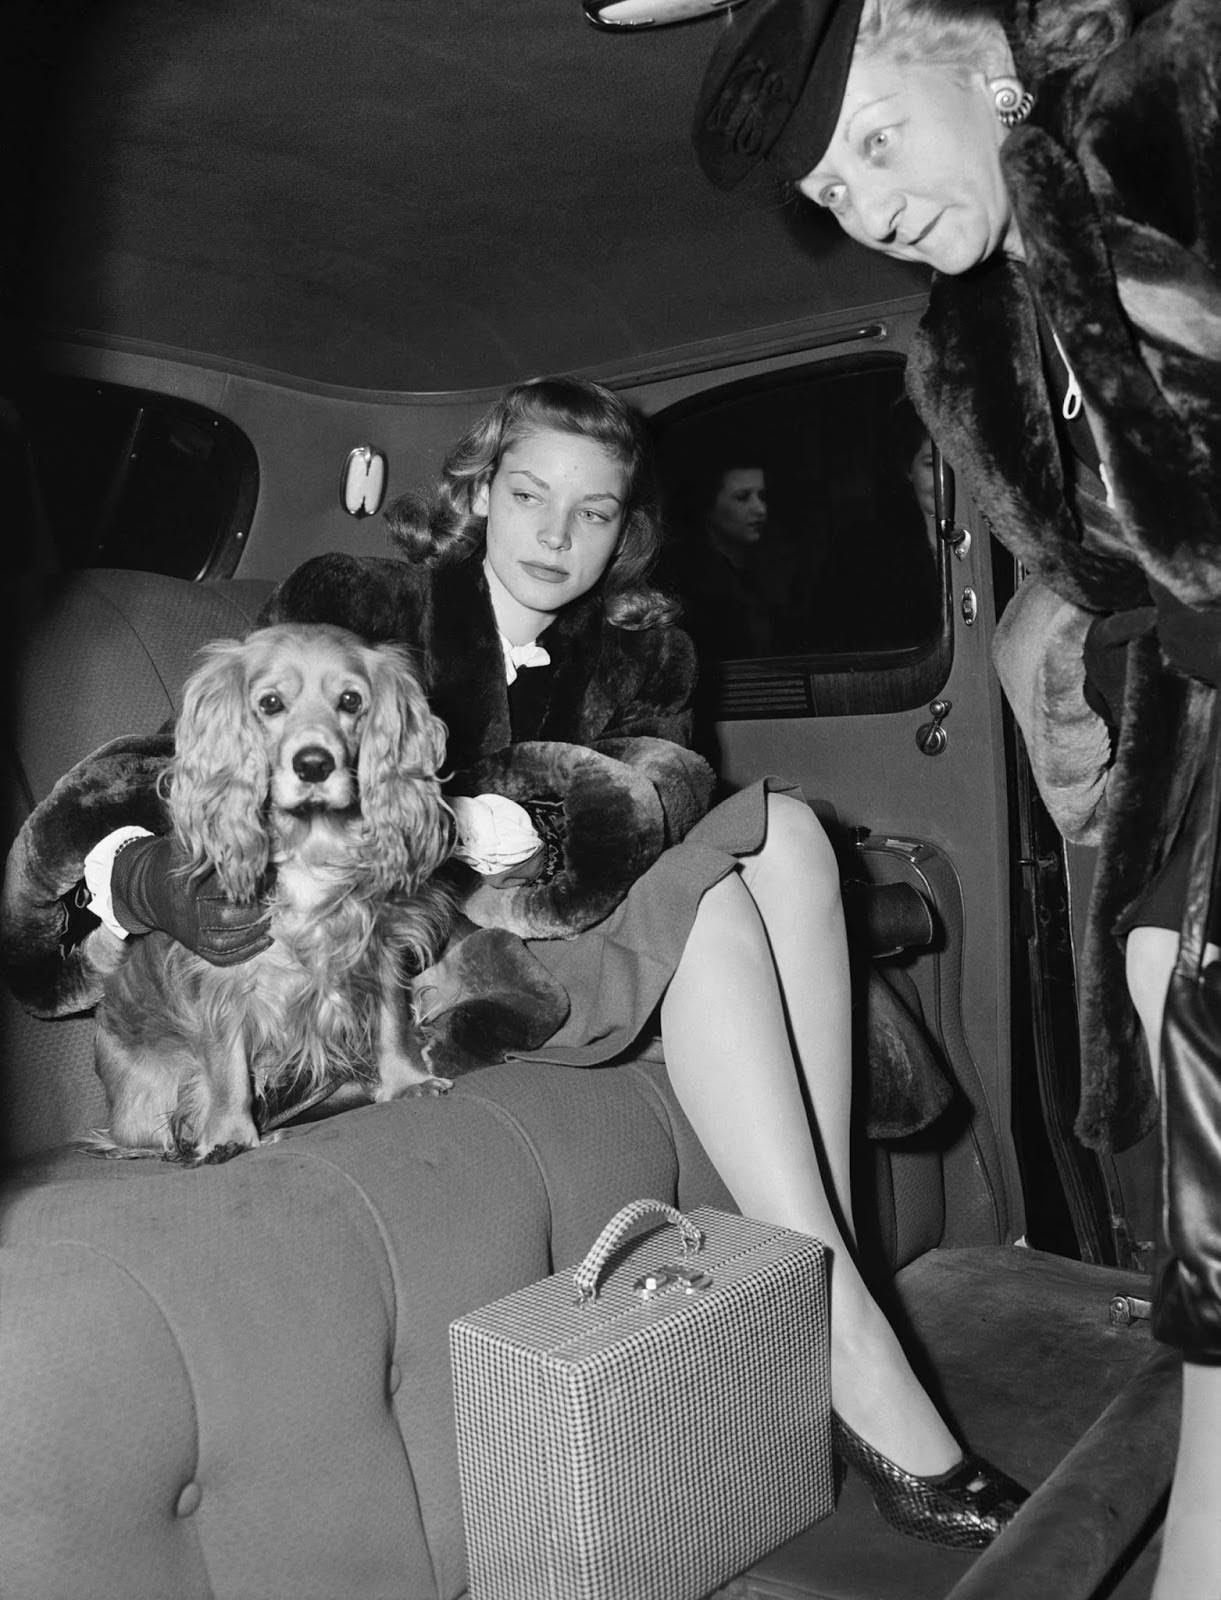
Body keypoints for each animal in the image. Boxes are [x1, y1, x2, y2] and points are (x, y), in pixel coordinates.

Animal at [89, 614, 454, 1164]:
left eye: (351, 701)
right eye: (270, 703)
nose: (313, 763)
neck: (311, 842)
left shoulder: (381, 943)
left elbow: (392, 1017)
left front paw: (406, 1081)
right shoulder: (223, 977)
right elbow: (227, 1070)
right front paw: (229, 1136)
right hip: (148, 1096)